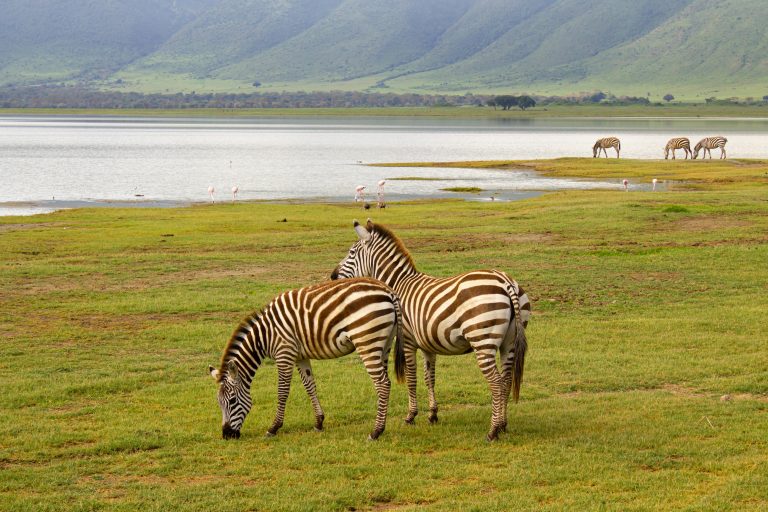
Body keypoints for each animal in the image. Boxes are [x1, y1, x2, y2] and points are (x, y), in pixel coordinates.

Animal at [208, 277, 404, 441]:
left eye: (232, 401)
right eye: (218, 402)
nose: (227, 435)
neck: (264, 335)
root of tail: (389, 292)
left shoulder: (284, 353)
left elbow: (282, 391)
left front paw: (274, 427)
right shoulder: (300, 356)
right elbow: (310, 386)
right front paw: (319, 422)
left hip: (367, 342)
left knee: (382, 384)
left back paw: (376, 432)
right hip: (384, 344)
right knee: (386, 382)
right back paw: (381, 427)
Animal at [331, 220, 530, 441]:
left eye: (351, 252)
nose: (332, 276)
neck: (398, 285)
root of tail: (505, 281)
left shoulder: (408, 341)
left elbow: (411, 378)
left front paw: (410, 416)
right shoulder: (428, 345)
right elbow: (430, 378)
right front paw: (433, 414)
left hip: (483, 341)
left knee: (496, 382)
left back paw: (493, 431)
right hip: (509, 343)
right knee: (506, 380)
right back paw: (503, 425)